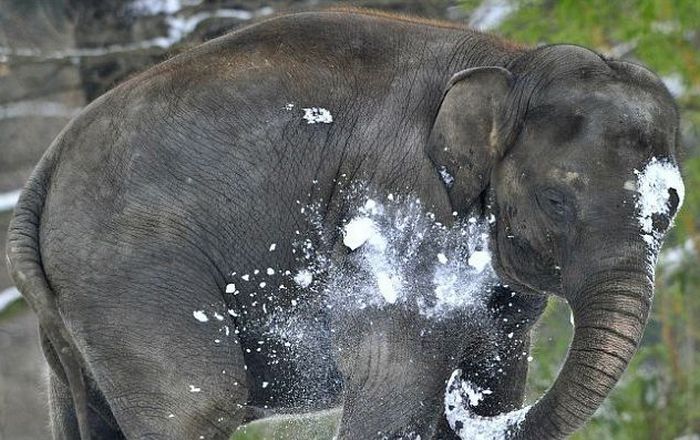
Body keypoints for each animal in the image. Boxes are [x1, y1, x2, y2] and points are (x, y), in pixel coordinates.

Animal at [5, 7, 684, 440]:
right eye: (556, 201)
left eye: (671, 206)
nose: (460, 400)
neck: (511, 64)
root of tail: (42, 173)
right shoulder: (400, 204)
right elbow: (396, 385)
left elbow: (499, 376)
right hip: (130, 274)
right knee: (200, 402)